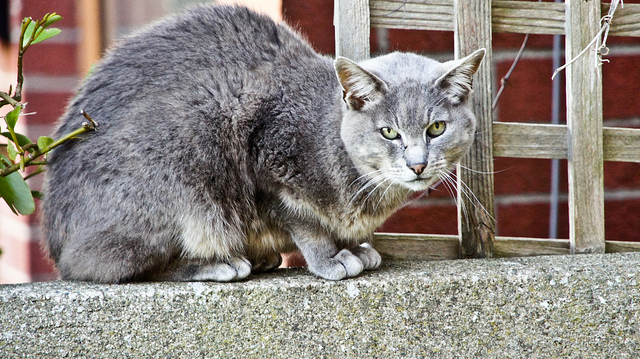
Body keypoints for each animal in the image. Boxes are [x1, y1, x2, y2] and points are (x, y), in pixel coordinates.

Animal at [42, 4, 482, 282]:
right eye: (389, 132)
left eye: (436, 128)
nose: (418, 164)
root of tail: (56, 236)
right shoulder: (268, 169)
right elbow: (304, 223)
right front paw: (331, 258)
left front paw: (355, 246)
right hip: (190, 142)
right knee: (104, 266)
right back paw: (220, 264)